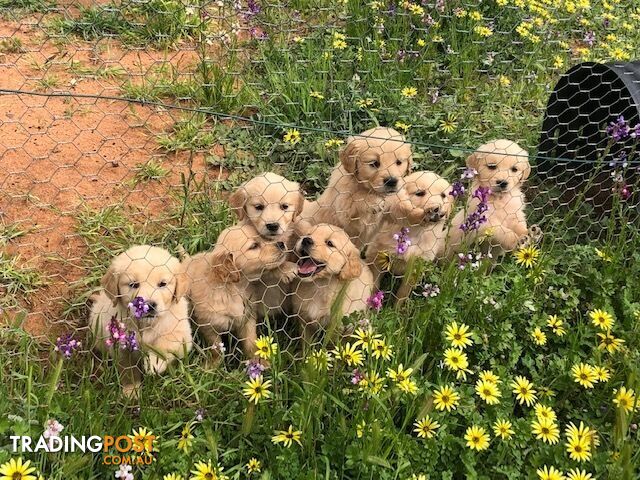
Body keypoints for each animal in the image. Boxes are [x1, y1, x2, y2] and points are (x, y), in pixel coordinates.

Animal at [90, 246, 191, 396]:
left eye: (163, 284)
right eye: (133, 284)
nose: (148, 305)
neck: (146, 325)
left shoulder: (181, 333)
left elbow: (166, 342)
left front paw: (154, 361)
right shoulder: (121, 347)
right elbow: (128, 369)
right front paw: (131, 391)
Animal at [185, 225, 292, 364]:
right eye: (254, 246)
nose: (281, 243)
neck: (233, 289)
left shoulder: (247, 317)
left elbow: (250, 341)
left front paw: (259, 360)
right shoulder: (207, 324)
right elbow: (216, 348)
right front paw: (213, 364)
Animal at [302, 127, 412, 255]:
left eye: (399, 162)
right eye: (374, 163)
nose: (392, 181)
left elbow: (402, 210)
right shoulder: (343, 206)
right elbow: (356, 200)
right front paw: (373, 201)